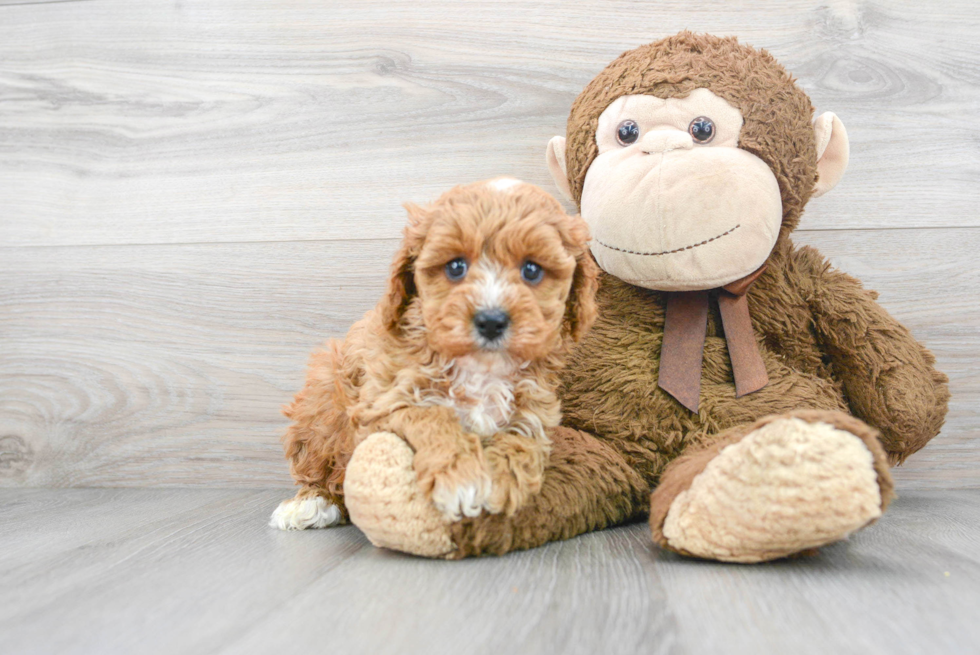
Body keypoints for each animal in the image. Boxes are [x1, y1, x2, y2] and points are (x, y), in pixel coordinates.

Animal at [272, 181, 600, 532]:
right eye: (455, 267)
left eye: (532, 270)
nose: (491, 321)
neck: (480, 369)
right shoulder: (384, 402)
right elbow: (432, 417)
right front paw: (462, 479)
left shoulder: (535, 407)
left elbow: (522, 441)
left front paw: (500, 481)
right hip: (323, 393)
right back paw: (311, 502)